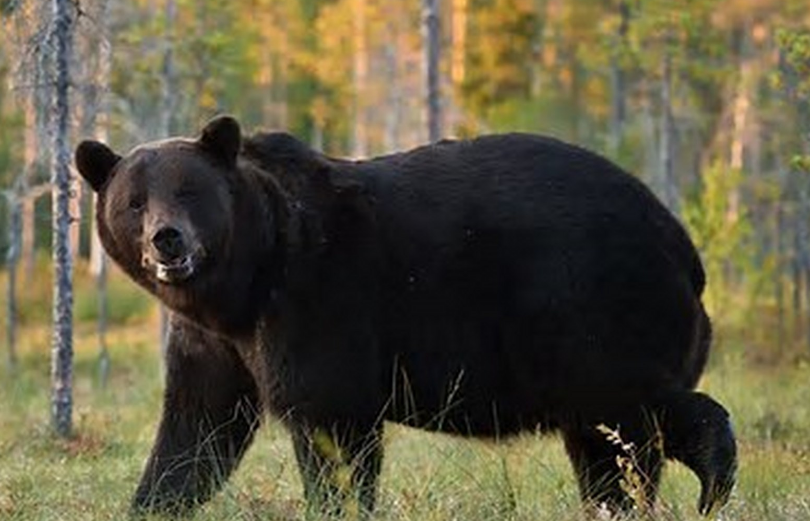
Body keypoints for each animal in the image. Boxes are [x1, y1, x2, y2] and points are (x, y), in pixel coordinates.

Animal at [77, 115, 740, 516]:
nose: (167, 240)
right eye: (134, 201)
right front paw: (151, 500)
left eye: (190, 192)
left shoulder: (321, 299)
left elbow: (330, 422)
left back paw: (712, 480)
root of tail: (682, 241)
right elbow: (198, 429)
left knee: (629, 413)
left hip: (586, 304)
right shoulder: (214, 341)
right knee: (605, 439)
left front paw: (337, 502)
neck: (245, 281)